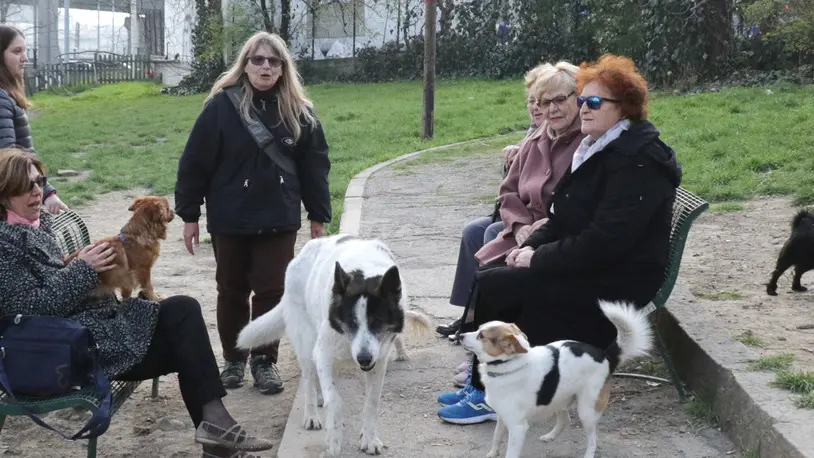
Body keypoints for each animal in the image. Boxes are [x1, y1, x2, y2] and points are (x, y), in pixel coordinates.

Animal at [234, 234, 430, 456]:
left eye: (377, 322)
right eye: (351, 322)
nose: (363, 359)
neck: (364, 271)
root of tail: (300, 256)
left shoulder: (378, 362)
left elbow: (371, 403)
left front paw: (369, 438)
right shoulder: (324, 354)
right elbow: (335, 400)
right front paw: (334, 438)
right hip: (307, 344)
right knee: (309, 379)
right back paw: (312, 415)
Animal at [462, 300, 652, 458]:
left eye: (481, 335)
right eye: (478, 329)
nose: (460, 335)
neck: (509, 364)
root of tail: (605, 356)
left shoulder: (518, 427)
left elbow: (511, 452)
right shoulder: (502, 416)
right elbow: (496, 437)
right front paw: (492, 453)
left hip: (587, 411)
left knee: (592, 438)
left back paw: (588, 454)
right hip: (559, 397)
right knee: (566, 419)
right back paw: (550, 436)